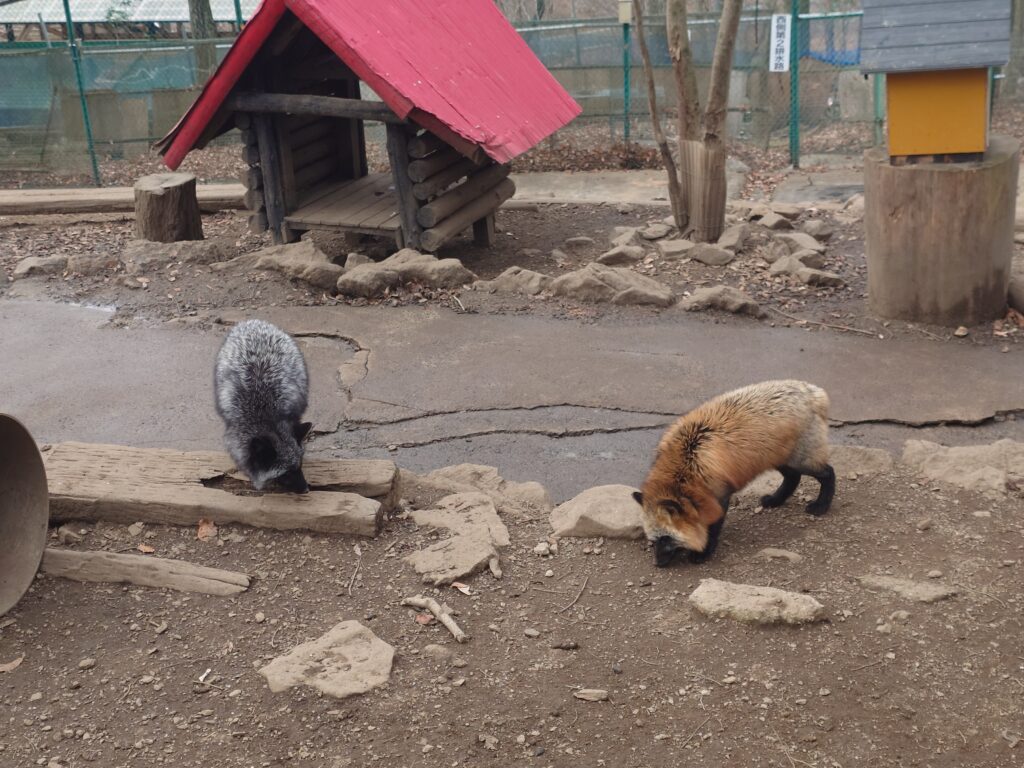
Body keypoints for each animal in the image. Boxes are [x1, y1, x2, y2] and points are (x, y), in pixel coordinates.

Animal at [633, 380, 835, 567]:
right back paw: (775, 500)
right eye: (653, 540)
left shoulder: (718, 496)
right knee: (793, 477)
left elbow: (712, 527)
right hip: (776, 459)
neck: (687, 464)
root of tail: (812, 390)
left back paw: (821, 506)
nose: (658, 564)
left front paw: (704, 553)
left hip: (801, 461)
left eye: (666, 539)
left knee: (828, 473)